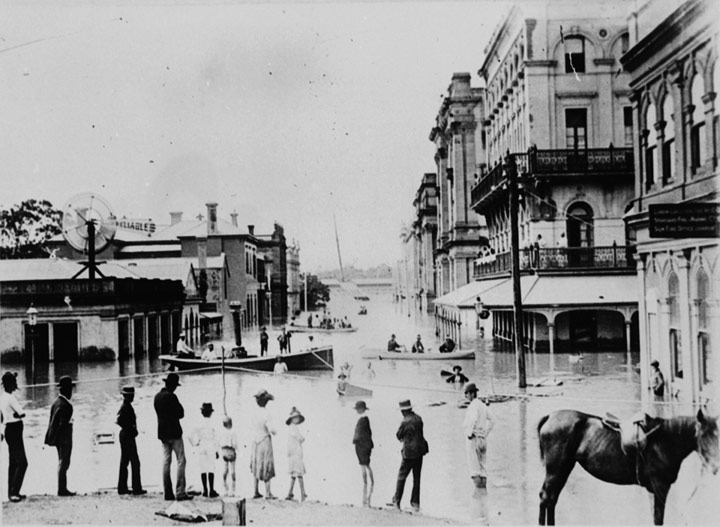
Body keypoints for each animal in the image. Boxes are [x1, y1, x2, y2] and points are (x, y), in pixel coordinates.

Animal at [536, 410, 716, 524]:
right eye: (703, 435)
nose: (715, 467)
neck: (665, 439)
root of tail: (550, 416)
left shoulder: (653, 489)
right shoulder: (660, 487)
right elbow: (658, 518)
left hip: (564, 468)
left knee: (551, 499)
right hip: (556, 470)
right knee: (546, 498)